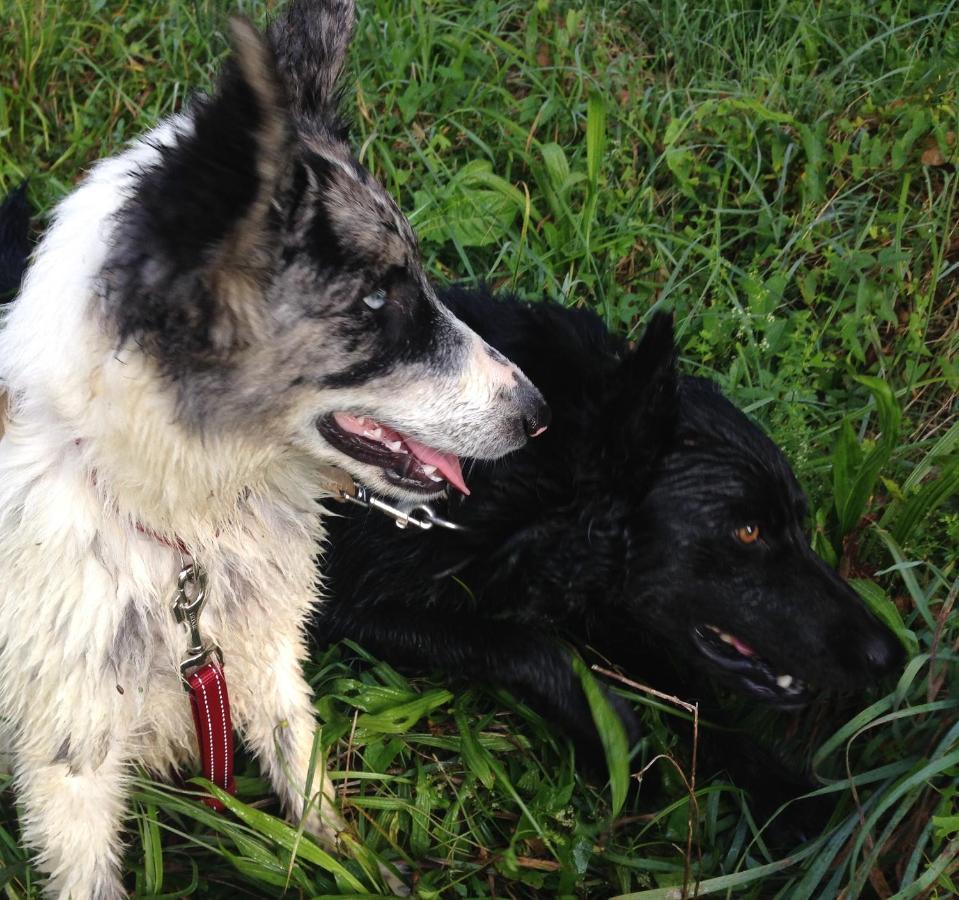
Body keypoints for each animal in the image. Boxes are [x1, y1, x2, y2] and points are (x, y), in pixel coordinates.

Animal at [0, 3, 548, 896]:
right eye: (375, 299)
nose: (538, 415)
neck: (178, 531)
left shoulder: (264, 660)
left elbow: (306, 779)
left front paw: (351, 863)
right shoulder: (69, 763)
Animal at [318, 288, 904, 800]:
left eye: (799, 524)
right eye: (748, 531)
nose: (890, 655)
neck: (524, 475)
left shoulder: (613, 603)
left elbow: (698, 700)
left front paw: (792, 802)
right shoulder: (340, 602)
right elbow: (521, 644)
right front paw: (617, 741)